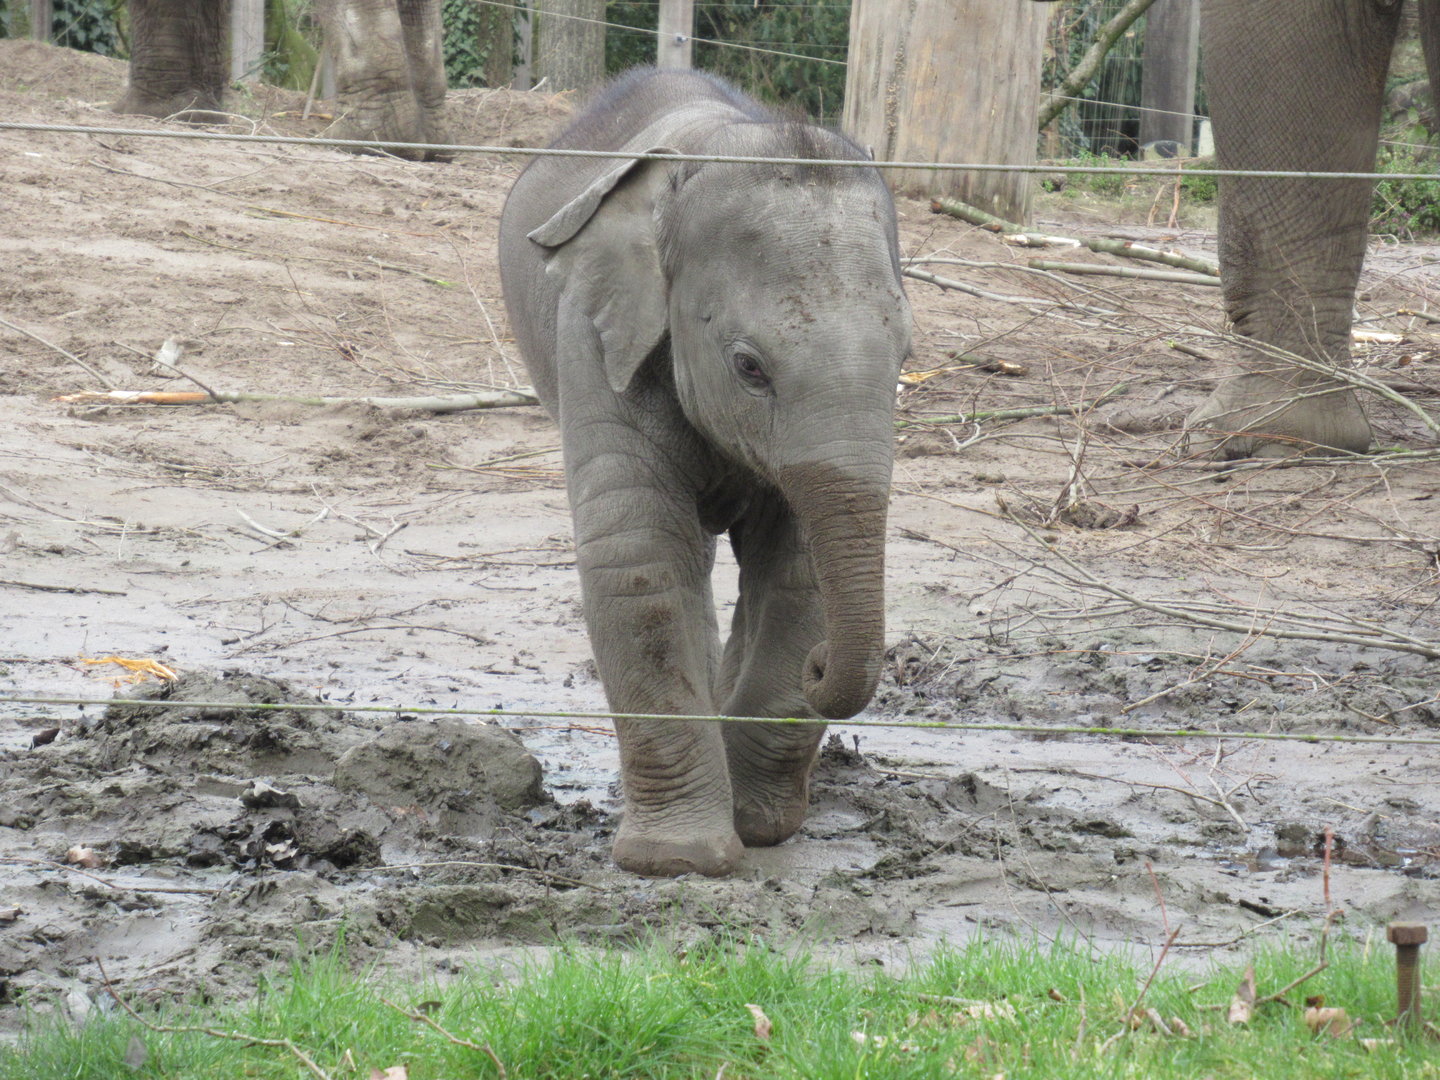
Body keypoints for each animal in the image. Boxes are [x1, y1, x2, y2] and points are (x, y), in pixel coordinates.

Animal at [498, 68, 912, 877]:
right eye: (749, 367)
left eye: (906, 357)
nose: (822, 669)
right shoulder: (595, 337)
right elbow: (638, 556)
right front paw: (680, 861)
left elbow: (797, 574)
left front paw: (759, 829)